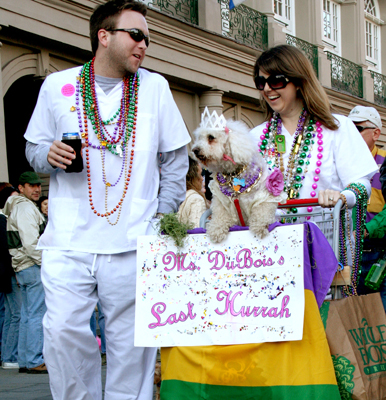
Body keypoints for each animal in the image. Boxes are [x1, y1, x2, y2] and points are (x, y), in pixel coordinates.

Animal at [192, 108, 286, 242]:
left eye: (211, 137)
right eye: (199, 138)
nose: (194, 150)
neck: (233, 174)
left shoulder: (265, 197)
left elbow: (262, 212)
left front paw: (259, 226)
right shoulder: (222, 202)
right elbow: (220, 216)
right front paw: (216, 229)